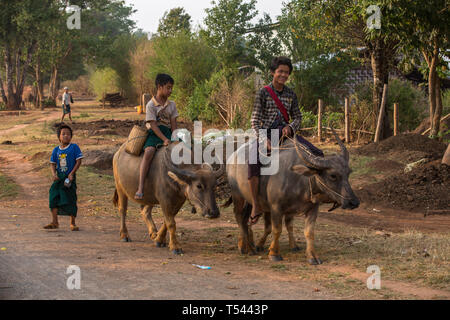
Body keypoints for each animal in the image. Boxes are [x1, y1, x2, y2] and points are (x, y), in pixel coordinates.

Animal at [227, 131, 360, 264]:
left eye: (348, 173)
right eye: (333, 175)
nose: (353, 202)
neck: (299, 180)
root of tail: (232, 159)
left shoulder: (311, 208)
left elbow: (307, 231)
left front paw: (311, 255)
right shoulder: (276, 207)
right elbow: (277, 229)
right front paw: (274, 253)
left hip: (251, 201)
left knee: (247, 219)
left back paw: (247, 244)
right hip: (237, 196)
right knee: (239, 217)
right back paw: (246, 247)